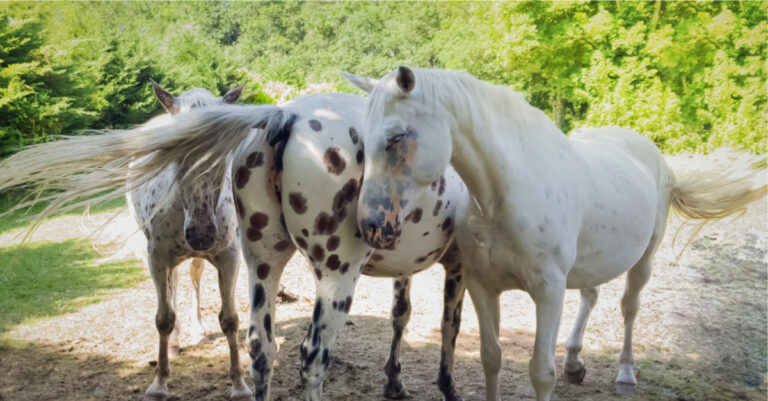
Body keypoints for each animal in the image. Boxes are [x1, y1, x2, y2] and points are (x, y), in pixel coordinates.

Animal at [0, 92, 470, 401]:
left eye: (218, 160)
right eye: (178, 158)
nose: (201, 233)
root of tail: (287, 116)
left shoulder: (229, 257)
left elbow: (400, 314)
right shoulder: (461, 266)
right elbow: (449, 327)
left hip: (259, 260)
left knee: (252, 335)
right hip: (330, 272)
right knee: (307, 352)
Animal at [349, 66, 766, 401]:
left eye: (397, 137)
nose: (370, 226)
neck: (503, 194)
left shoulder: (548, 292)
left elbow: (540, 372)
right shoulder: (482, 285)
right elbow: (491, 358)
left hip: (643, 260)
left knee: (629, 309)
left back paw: (625, 373)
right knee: (591, 296)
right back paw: (575, 361)